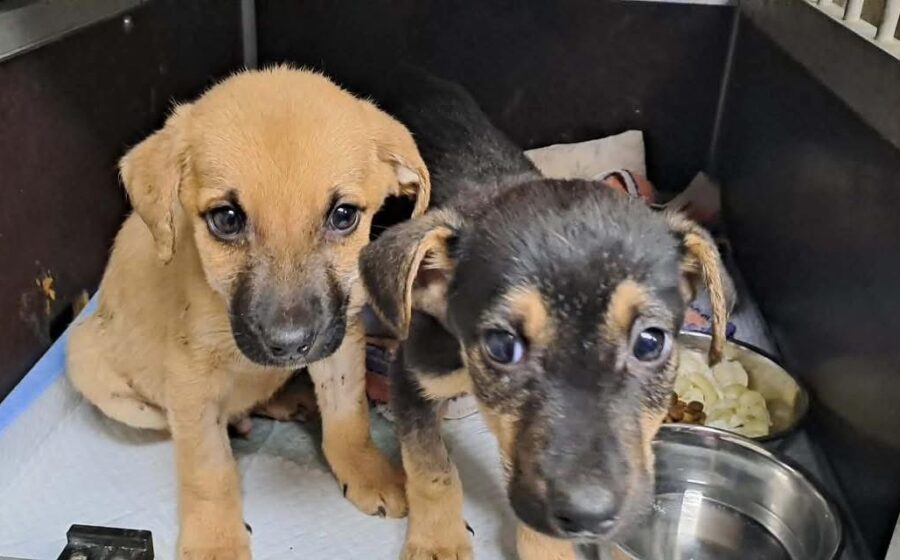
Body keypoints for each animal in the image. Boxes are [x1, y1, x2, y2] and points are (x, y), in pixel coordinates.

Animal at [66, 66, 430, 559]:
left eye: (343, 215)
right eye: (227, 218)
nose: (290, 346)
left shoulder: (340, 340)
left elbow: (347, 415)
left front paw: (366, 470)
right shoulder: (191, 383)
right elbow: (207, 468)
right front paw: (215, 540)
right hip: (86, 363)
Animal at [359, 68, 733, 560]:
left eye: (650, 342)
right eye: (501, 346)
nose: (588, 515)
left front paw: (545, 549)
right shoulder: (412, 376)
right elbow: (431, 468)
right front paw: (438, 542)